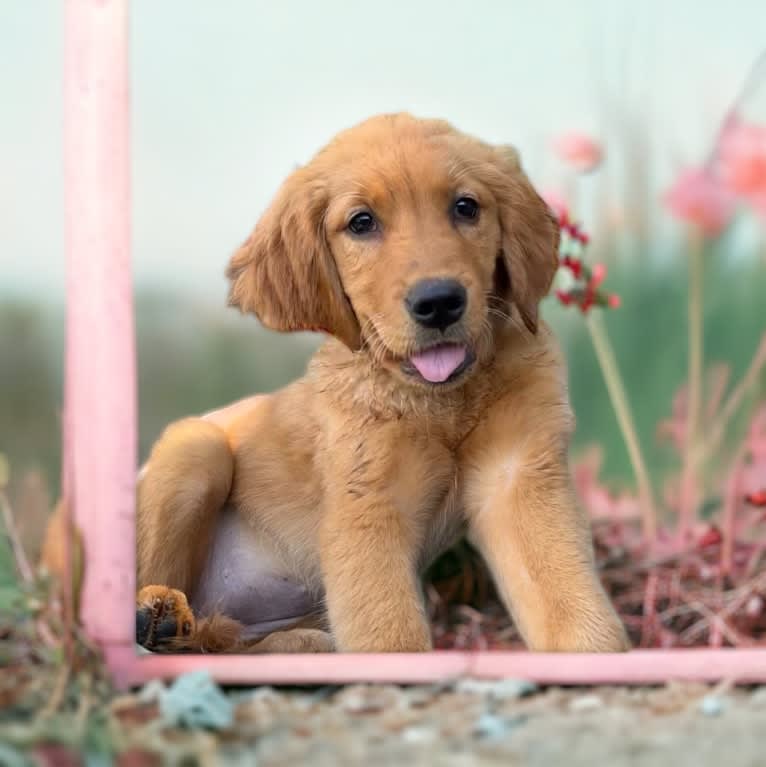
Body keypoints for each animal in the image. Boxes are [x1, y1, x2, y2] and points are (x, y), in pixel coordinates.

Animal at [135, 112, 632, 656]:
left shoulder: (519, 477)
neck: (439, 400)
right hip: (195, 446)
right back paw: (159, 614)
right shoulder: (368, 506)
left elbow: (573, 607)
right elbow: (388, 633)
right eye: (361, 222)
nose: (438, 302)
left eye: (465, 207)